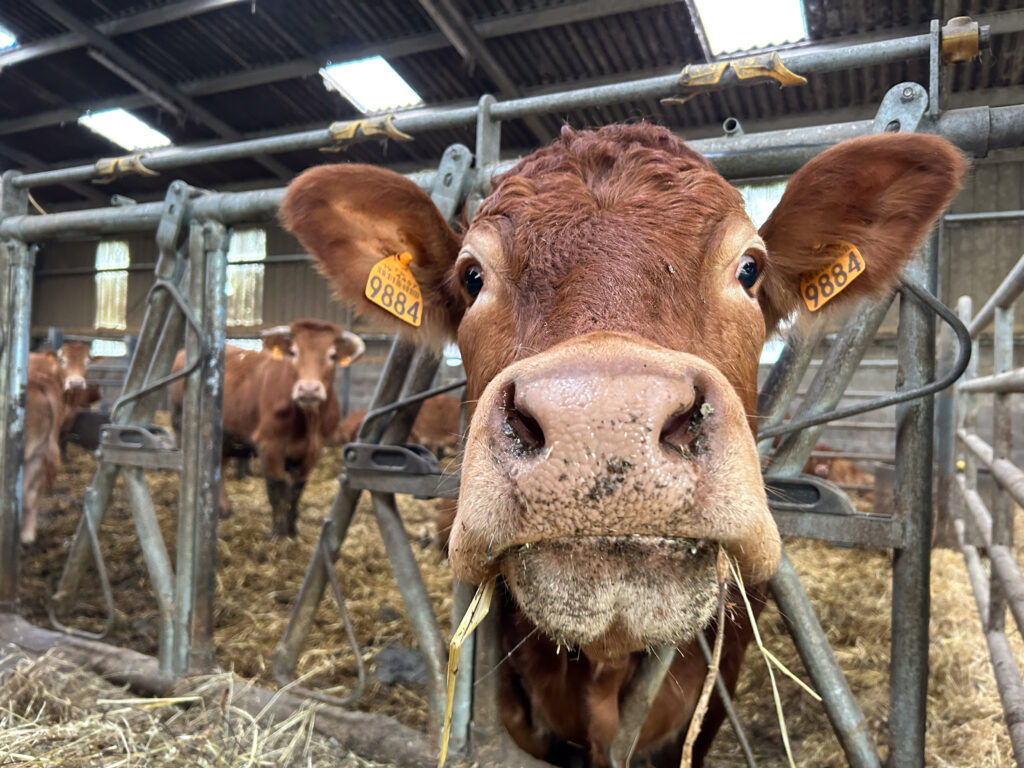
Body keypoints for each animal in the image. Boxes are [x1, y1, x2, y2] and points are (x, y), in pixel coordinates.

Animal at [171, 320, 365, 537]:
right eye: (293, 352)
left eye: (332, 355)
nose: (308, 389)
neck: (305, 422)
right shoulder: (270, 445)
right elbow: (276, 488)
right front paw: (278, 534)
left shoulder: (313, 450)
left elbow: (296, 490)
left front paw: (292, 531)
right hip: (181, 428)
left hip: (224, 437)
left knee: (219, 467)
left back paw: (223, 509)